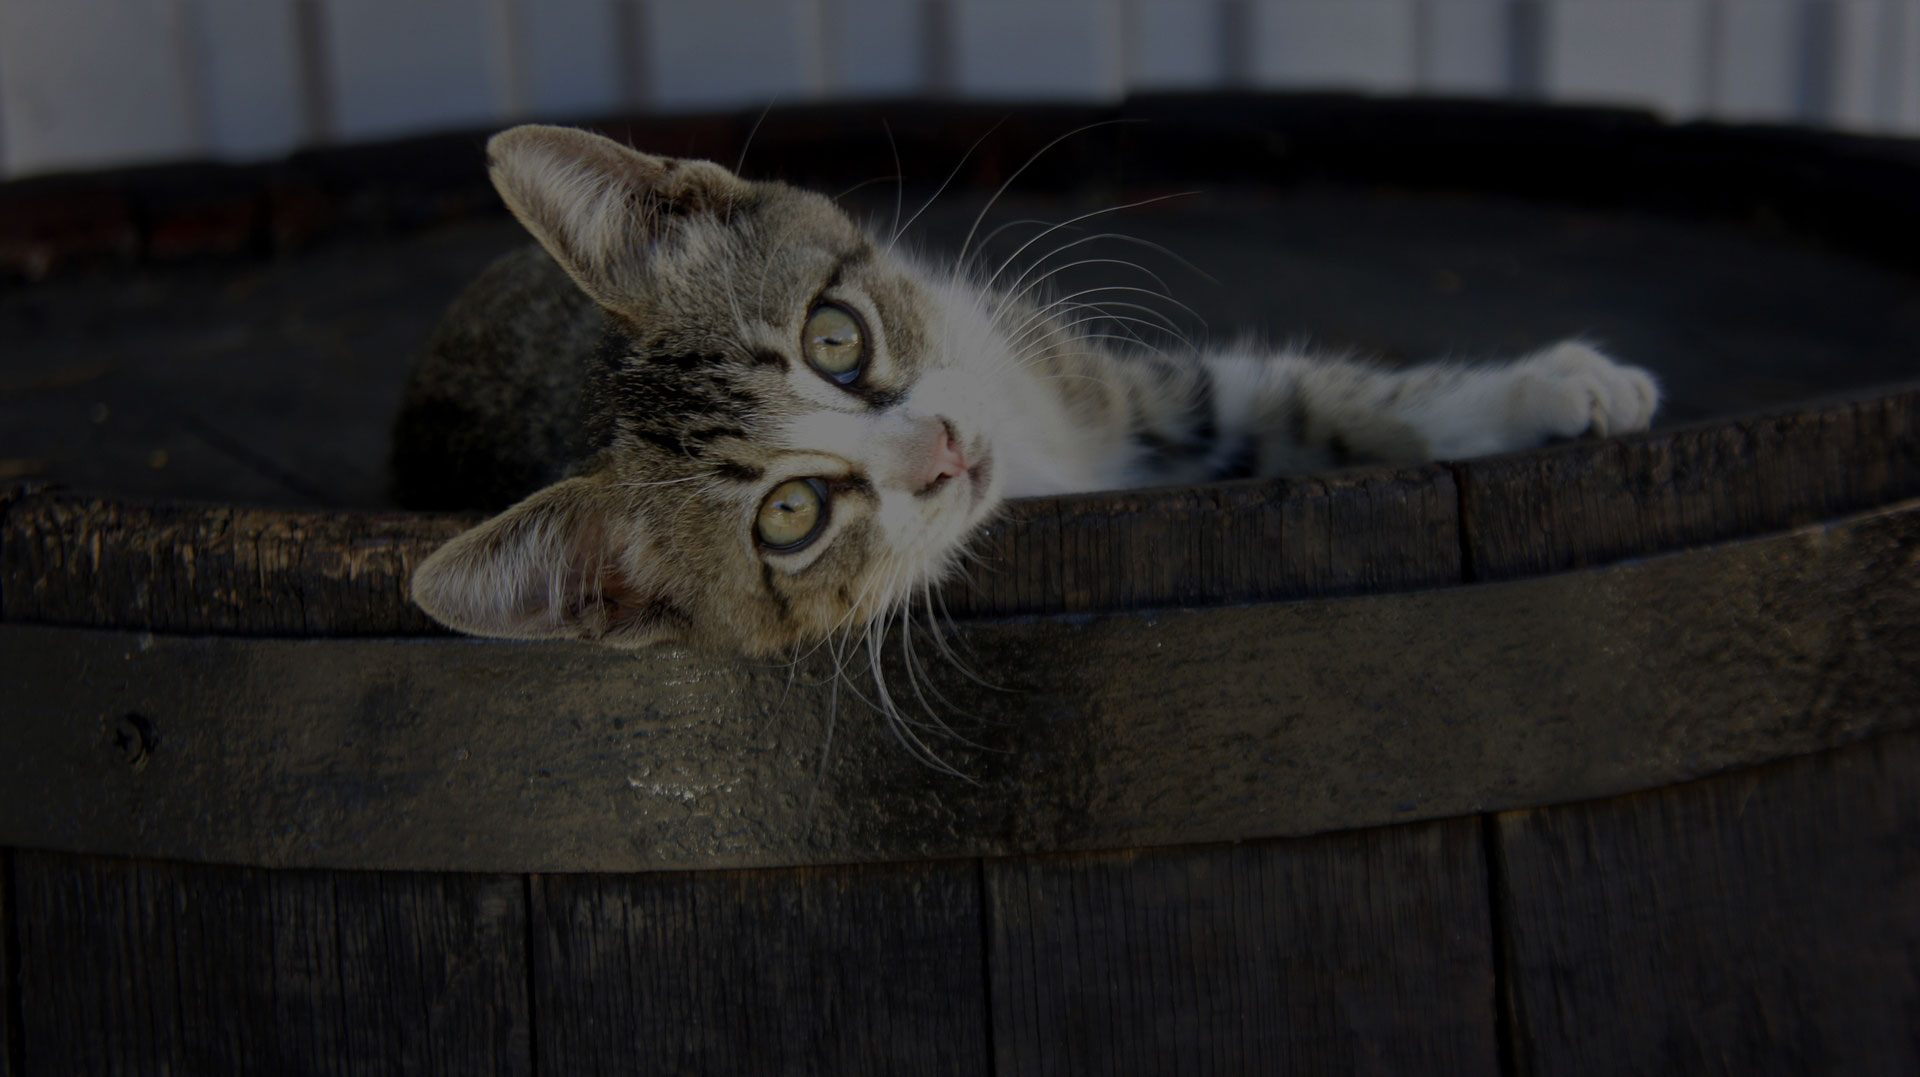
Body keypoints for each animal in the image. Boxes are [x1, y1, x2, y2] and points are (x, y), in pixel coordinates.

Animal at [389, 124, 1651, 660]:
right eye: (791, 515)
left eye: (836, 338)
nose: (943, 449)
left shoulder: (1068, 372)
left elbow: (1300, 400)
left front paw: (1550, 388)